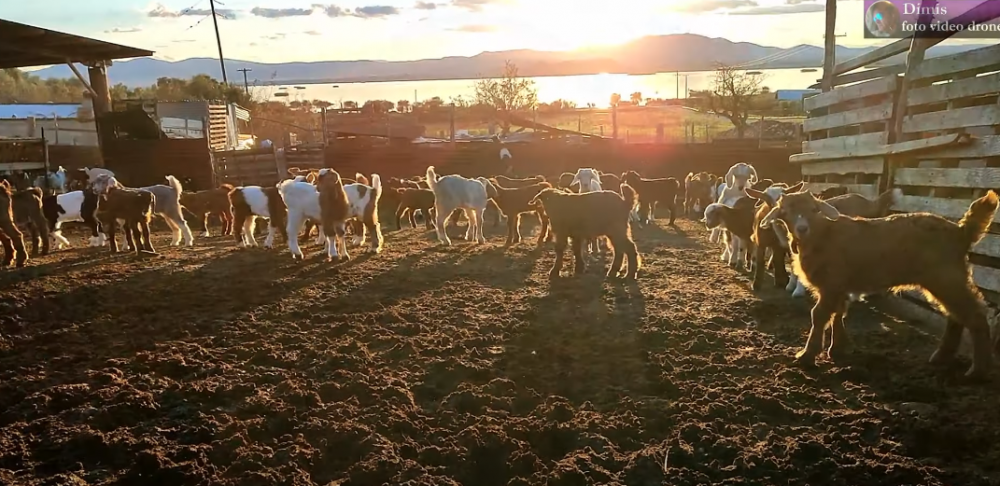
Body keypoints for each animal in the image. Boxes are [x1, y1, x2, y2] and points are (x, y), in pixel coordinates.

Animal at [760, 188, 996, 378]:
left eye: (813, 209)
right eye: (786, 210)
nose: (802, 228)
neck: (822, 234)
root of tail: (961, 231)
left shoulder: (831, 283)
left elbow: (819, 315)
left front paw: (807, 356)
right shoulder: (839, 285)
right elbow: (839, 312)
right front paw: (838, 348)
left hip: (946, 276)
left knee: (973, 315)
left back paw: (978, 371)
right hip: (945, 279)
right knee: (955, 316)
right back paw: (941, 357)